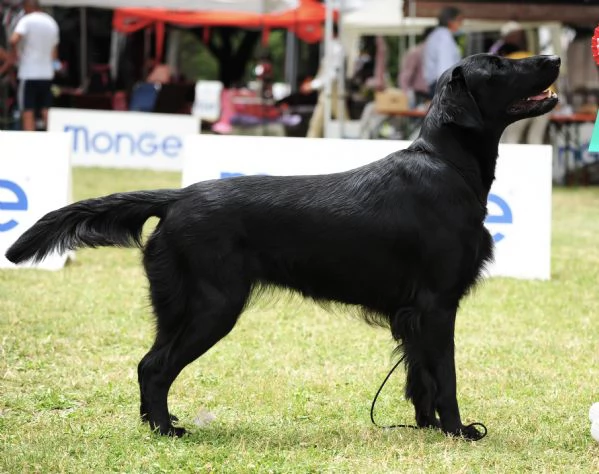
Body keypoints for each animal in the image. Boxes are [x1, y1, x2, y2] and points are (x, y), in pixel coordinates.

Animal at [4, 52, 560, 440]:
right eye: (499, 65)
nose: (553, 59)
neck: (448, 167)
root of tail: (177, 196)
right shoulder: (438, 304)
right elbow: (445, 377)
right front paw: (459, 432)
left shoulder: (415, 313)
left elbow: (419, 377)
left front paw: (426, 429)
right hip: (213, 305)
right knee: (158, 367)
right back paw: (166, 431)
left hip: (179, 305)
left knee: (147, 363)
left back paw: (158, 424)